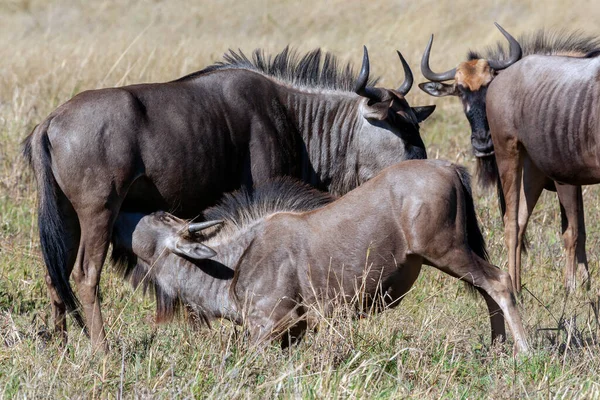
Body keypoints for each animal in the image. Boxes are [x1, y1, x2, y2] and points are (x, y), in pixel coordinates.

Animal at [112, 159, 528, 354]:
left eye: (160, 219)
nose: (118, 214)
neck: (231, 263)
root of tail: (447, 167)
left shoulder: (270, 326)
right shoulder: (294, 331)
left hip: (446, 251)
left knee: (500, 282)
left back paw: (522, 351)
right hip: (454, 254)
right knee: (488, 290)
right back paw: (495, 348)